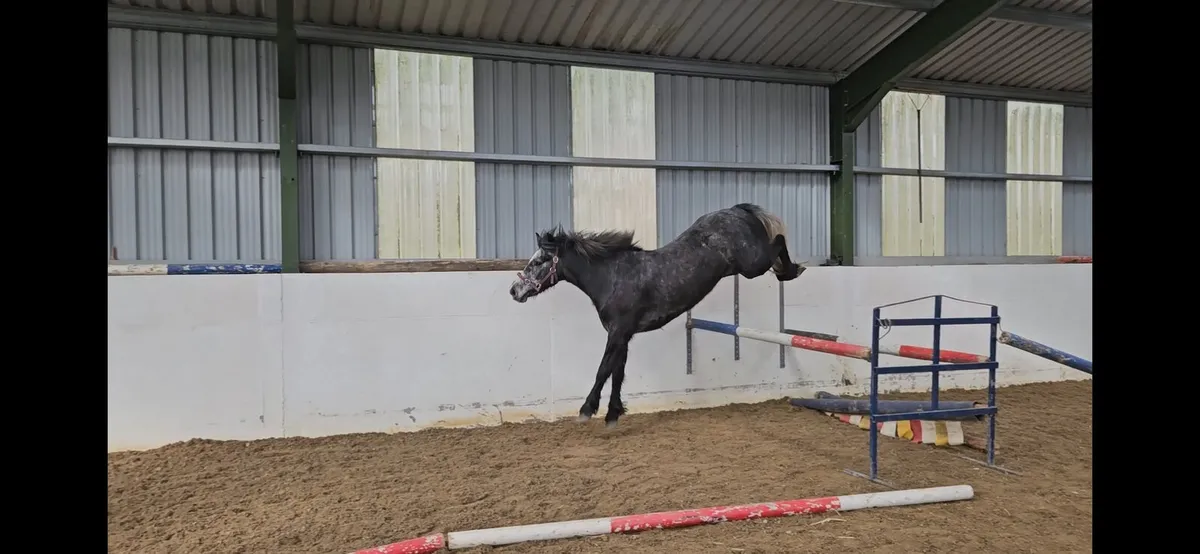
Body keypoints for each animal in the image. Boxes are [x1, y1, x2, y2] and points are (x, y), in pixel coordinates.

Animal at [508, 203, 806, 429]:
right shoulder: (623, 336)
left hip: (752, 265)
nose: (514, 290)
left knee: (779, 242)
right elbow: (617, 372)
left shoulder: (617, 333)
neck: (612, 277)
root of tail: (736, 210)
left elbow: (603, 370)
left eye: (538, 261)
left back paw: (792, 270)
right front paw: (613, 414)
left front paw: (587, 410)